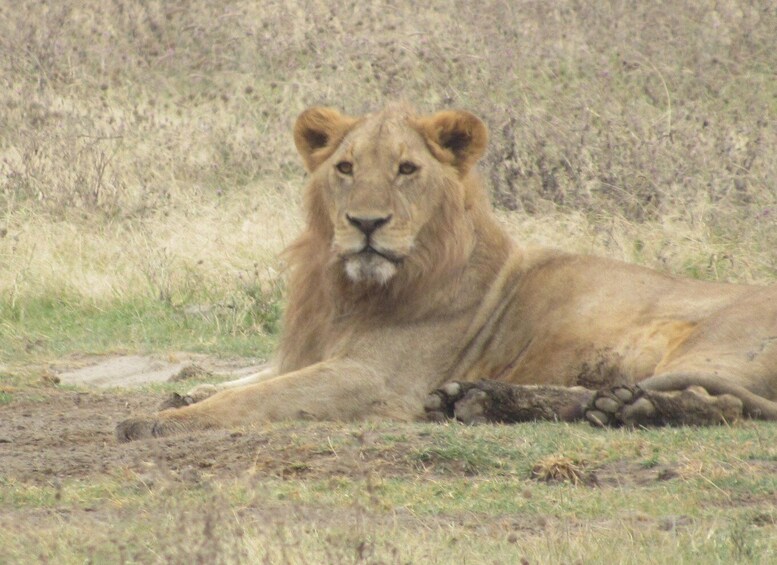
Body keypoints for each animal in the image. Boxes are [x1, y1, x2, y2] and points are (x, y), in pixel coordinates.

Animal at [116, 103, 777, 441]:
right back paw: (482, 400)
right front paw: (182, 393)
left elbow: (262, 397)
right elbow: (245, 382)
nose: (366, 223)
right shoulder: (306, 353)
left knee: (714, 403)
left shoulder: (377, 380)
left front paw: (156, 420)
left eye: (407, 169)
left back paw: (616, 410)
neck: (346, 291)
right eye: (346, 167)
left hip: (710, 348)